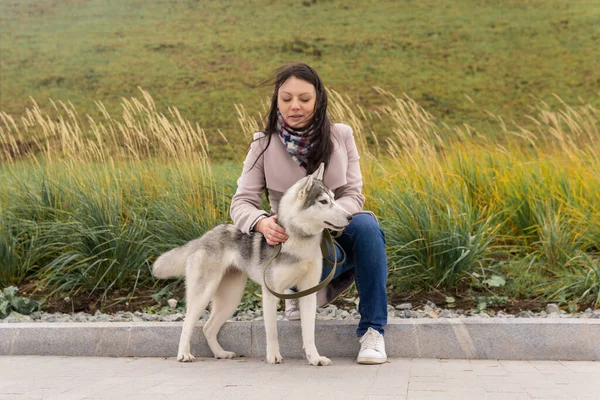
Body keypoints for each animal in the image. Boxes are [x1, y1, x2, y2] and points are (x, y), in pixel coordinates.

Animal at [152, 162, 354, 366]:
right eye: (323, 202)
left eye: (334, 198)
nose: (350, 216)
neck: (297, 239)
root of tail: (203, 237)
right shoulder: (271, 293)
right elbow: (272, 331)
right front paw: (273, 356)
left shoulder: (308, 292)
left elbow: (309, 333)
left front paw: (314, 357)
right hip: (203, 293)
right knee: (188, 324)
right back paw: (183, 354)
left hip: (231, 298)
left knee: (208, 328)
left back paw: (220, 353)